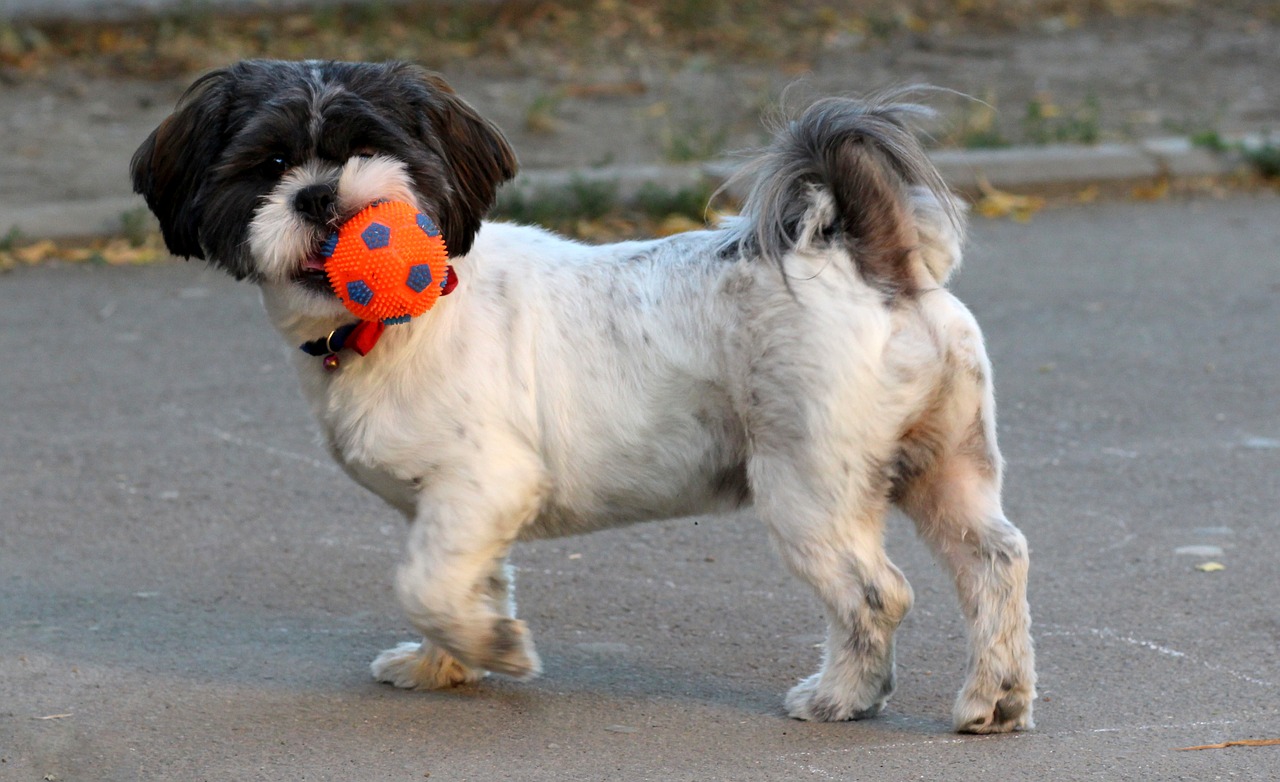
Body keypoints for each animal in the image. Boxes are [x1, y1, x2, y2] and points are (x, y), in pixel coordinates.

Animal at [129, 61, 1034, 732]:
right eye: (270, 164)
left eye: (370, 148)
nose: (319, 194)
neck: (399, 319)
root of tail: (871, 260)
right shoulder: (456, 511)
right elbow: (460, 578)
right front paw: (445, 662)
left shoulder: (482, 484)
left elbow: (424, 584)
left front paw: (497, 649)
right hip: (947, 468)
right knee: (995, 560)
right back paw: (995, 697)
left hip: (808, 488)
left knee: (878, 594)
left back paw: (843, 696)